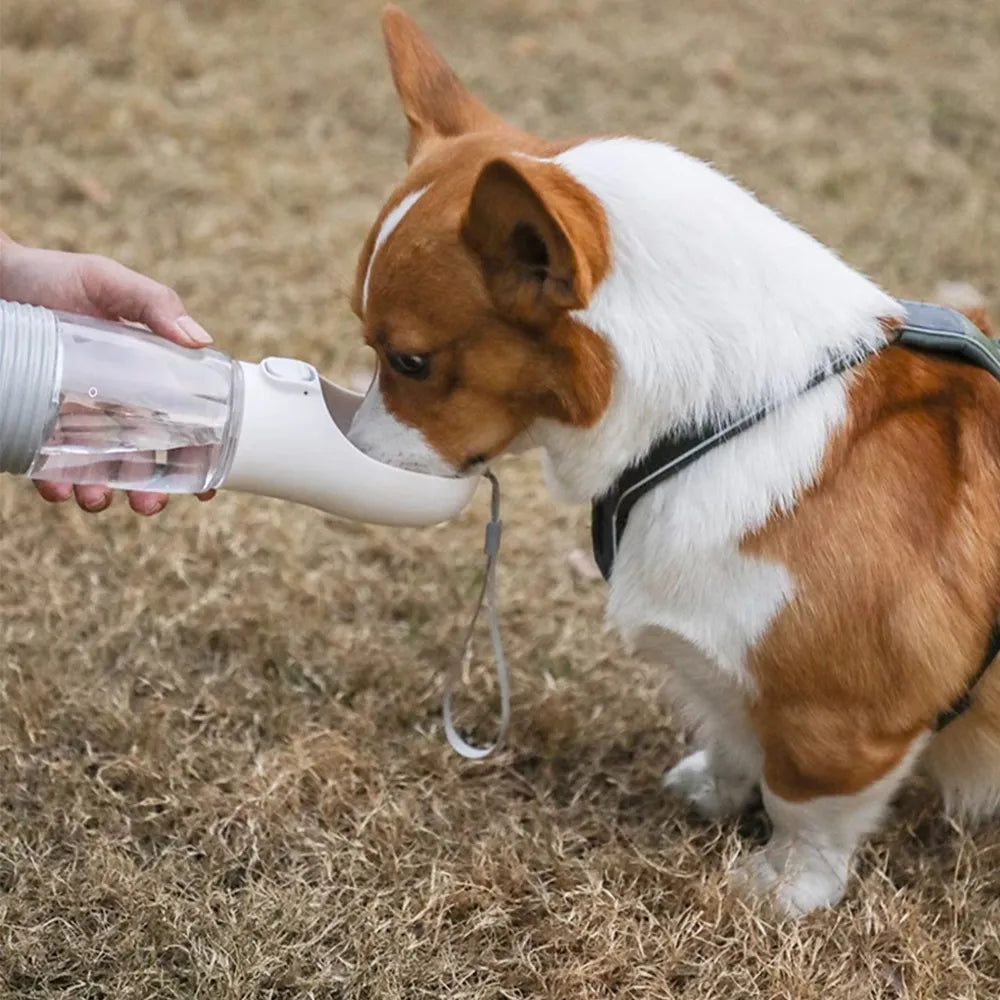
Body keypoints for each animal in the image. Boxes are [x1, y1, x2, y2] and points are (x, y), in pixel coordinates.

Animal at [350, 7, 1000, 916]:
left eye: (408, 361)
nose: (354, 452)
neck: (719, 418)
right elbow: (731, 732)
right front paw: (714, 787)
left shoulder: (845, 719)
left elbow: (808, 807)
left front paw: (782, 887)